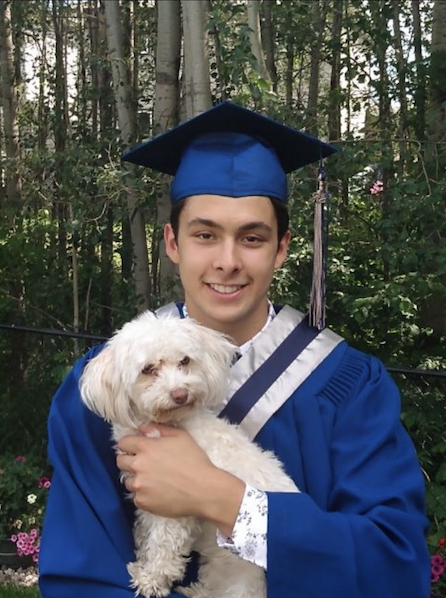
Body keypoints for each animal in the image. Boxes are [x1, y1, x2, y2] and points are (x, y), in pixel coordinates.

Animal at [79, 312, 298, 596]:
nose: (180, 394)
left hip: (241, 580)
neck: (169, 425)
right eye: (148, 369)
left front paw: (150, 580)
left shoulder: (172, 506)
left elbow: (163, 544)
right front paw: (143, 560)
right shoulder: (148, 503)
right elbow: (148, 534)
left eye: (184, 361)